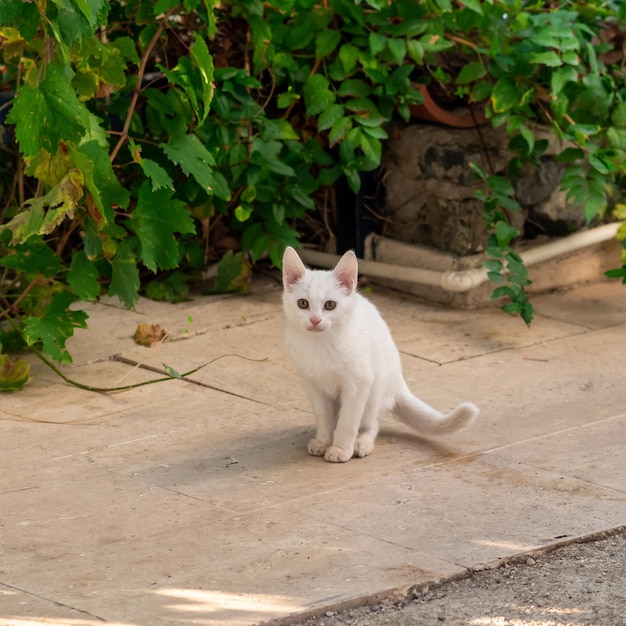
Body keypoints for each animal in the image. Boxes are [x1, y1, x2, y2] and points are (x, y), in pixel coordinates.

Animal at [282, 246, 478, 460]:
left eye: (330, 305)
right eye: (302, 303)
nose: (315, 320)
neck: (321, 344)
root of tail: (398, 382)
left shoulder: (359, 382)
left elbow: (348, 421)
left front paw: (341, 448)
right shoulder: (313, 385)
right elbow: (323, 416)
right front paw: (324, 441)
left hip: (376, 389)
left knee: (372, 423)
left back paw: (362, 442)